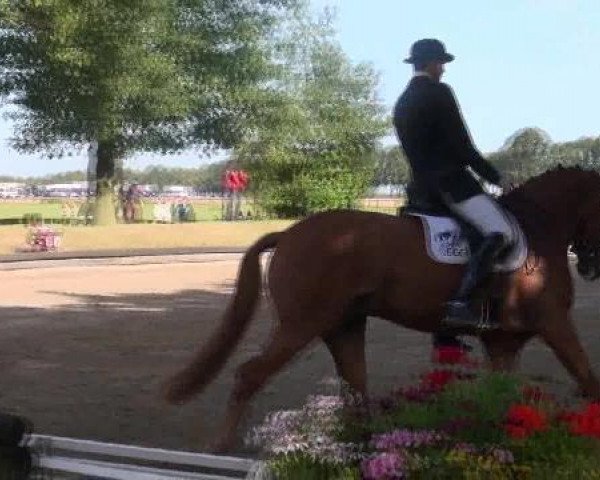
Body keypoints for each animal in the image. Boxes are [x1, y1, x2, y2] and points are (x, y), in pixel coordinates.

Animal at [166, 167, 600, 452]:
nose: (590, 267)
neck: (539, 232)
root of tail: (288, 233)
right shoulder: (554, 323)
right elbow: (588, 378)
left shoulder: (504, 343)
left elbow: (502, 397)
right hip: (300, 325)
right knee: (250, 374)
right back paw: (221, 446)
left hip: (344, 326)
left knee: (355, 389)